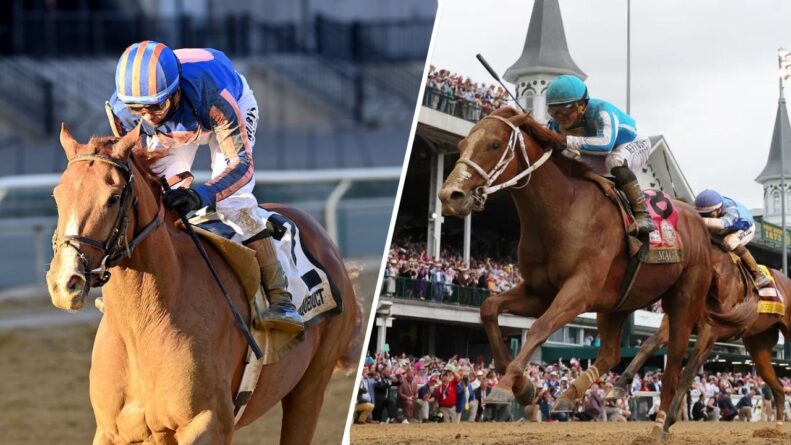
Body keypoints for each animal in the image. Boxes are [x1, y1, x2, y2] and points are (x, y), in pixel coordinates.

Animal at [45, 124, 362, 445]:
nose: (65, 282)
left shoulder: (209, 423)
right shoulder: (113, 432)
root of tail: (327, 245)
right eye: (58, 194)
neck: (144, 325)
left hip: (310, 385)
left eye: (112, 197)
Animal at [437, 107, 746, 432]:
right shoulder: (539, 292)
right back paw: (576, 394)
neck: (563, 211)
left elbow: (540, 327)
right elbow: (489, 308)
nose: (450, 195)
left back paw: (660, 420)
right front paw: (523, 386)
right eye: (461, 146)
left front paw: (508, 384)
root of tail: (700, 224)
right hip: (619, 303)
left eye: (494, 144)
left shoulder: (580, 290)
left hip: (684, 300)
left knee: (675, 358)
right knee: (610, 353)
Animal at [608, 246, 790, 437]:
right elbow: (648, 345)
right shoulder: (675, 322)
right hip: (758, 345)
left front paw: (667, 422)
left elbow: (688, 372)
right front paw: (617, 386)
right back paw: (777, 430)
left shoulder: (710, 331)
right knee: (778, 389)